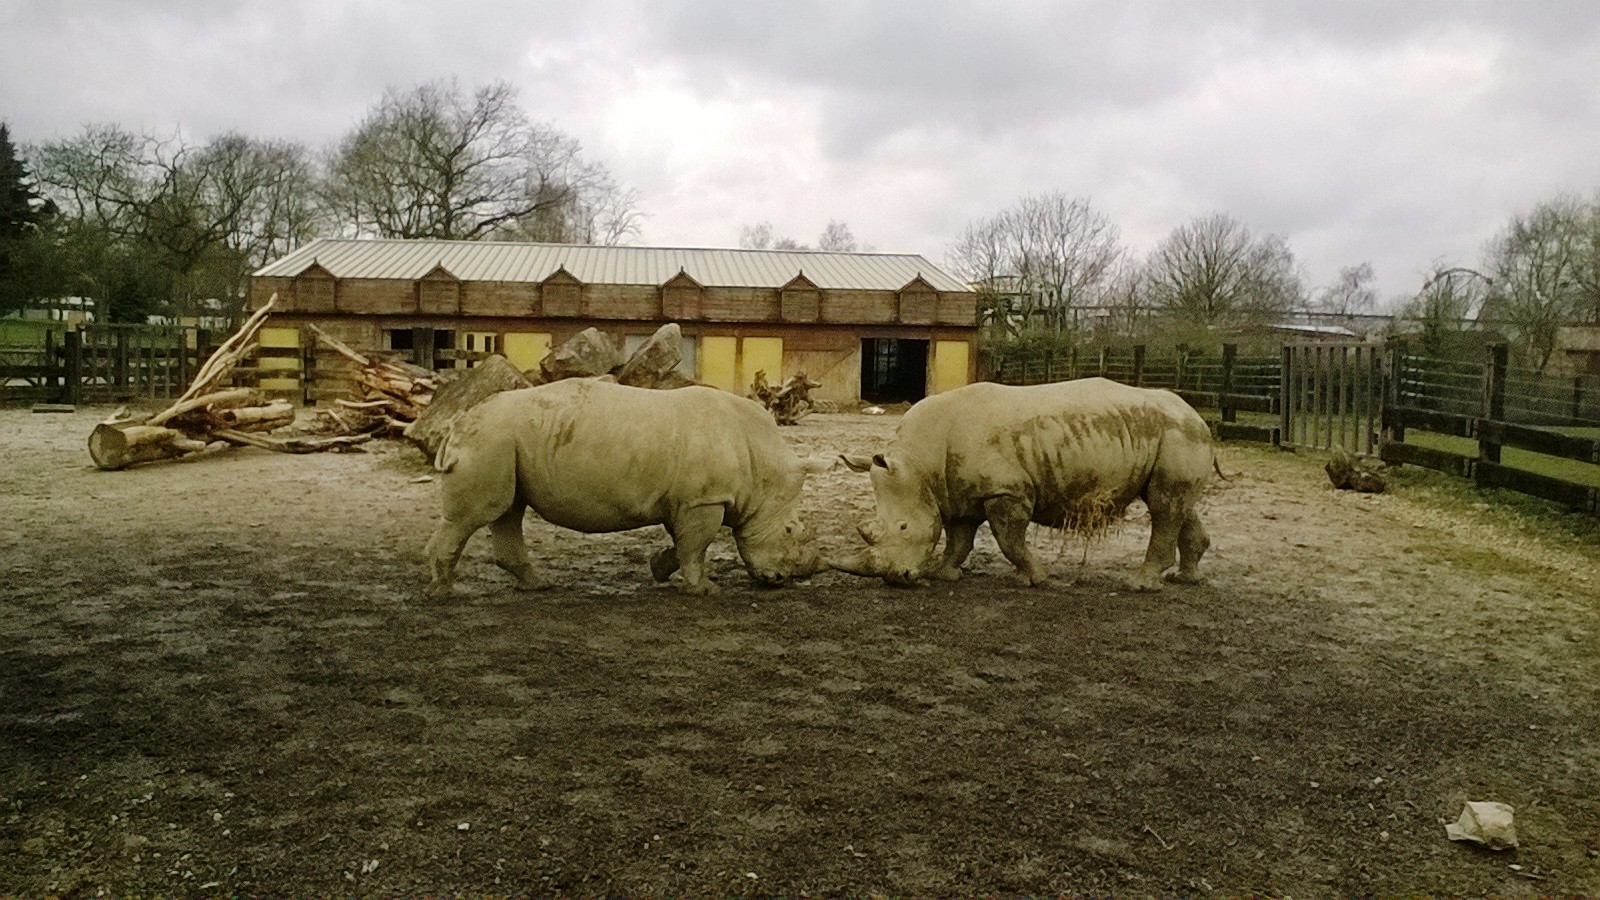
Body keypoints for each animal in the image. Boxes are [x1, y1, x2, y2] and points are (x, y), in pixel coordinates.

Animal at [422, 378, 828, 598]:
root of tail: (458, 422)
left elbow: (683, 543)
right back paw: (442, 592)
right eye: (790, 530)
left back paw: (539, 586)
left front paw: (659, 569)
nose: (779, 580)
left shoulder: (685, 500)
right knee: (475, 516)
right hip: (491, 438)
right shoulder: (704, 500)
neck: (762, 465)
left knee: (509, 510)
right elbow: (696, 546)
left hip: (505, 442)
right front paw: (705, 590)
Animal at [833, 378, 1220, 590]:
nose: (897, 579)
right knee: (1177, 504)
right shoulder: (958, 493)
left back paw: (1139, 585)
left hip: (1178, 433)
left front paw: (1035, 579)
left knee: (1164, 506)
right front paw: (945, 575)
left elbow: (1009, 540)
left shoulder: (1006, 492)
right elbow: (959, 539)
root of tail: (1198, 416)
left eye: (902, 527)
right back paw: (1185, 579)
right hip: (1173, 435)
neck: (919, 464)